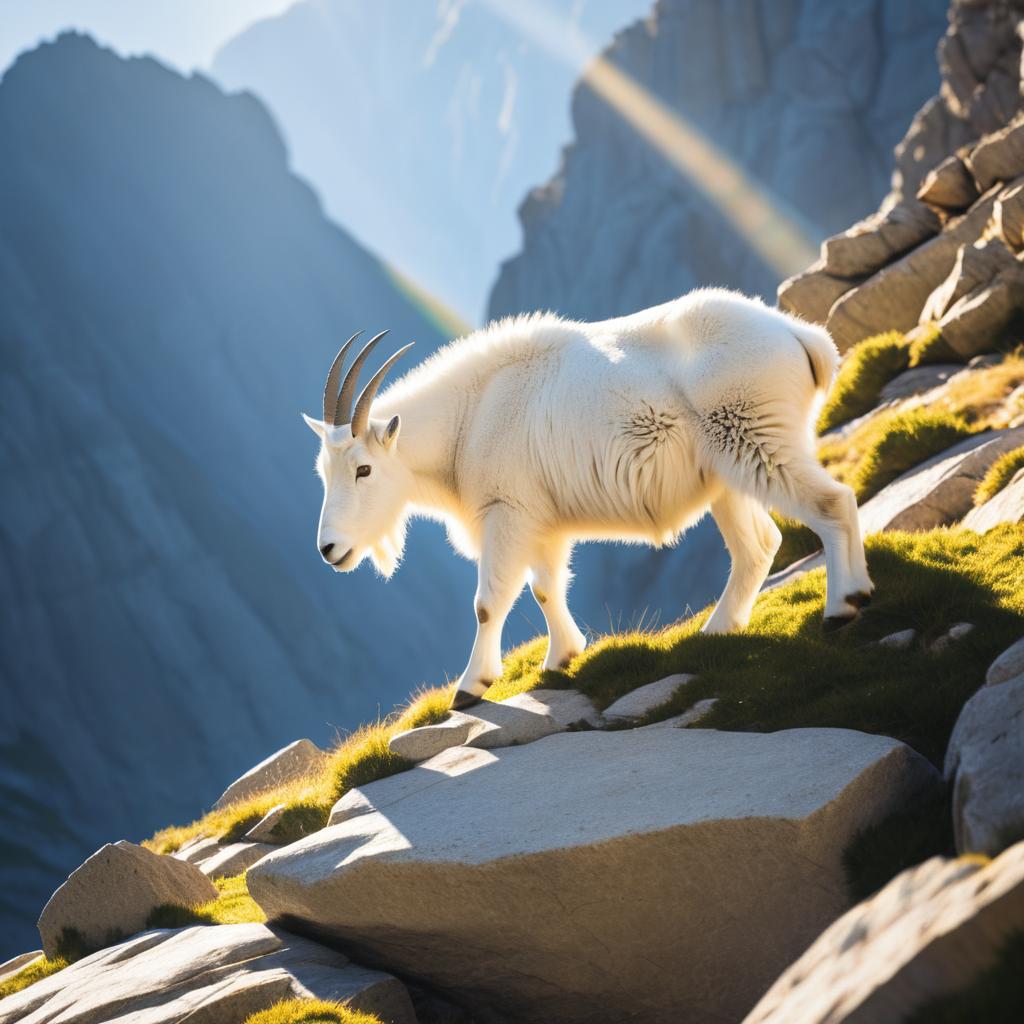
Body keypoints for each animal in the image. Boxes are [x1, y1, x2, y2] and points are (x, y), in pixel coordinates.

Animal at [301, 286, 872, 704]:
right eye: (323, 473)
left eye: (364, 469)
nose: (329, 550)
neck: (468, 417)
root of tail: (799, 335)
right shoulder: (541, 522)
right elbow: (545, 588)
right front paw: (562, 657)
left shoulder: (507, 514)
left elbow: (488, 603)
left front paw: (471, 687)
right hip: (727, 472)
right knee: (758, 545)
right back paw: (719, 630)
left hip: (756, 436)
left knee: (832, 503)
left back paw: (844, 604)